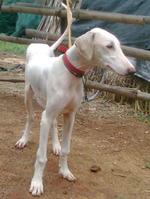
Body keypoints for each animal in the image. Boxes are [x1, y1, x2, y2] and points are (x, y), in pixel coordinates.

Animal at [15, 27, 136, 196]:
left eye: (118, 45)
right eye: (109, 46)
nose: (132, 71)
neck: (70, 73)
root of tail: (41, 45)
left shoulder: (70, 116)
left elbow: (66, 149)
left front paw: (64, 171)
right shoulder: (46, 117)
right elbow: (41, 157)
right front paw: (37, 183)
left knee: (53, 123)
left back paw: (56, 145)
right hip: (29, 94)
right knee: (31, 117)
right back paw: (24, 140)